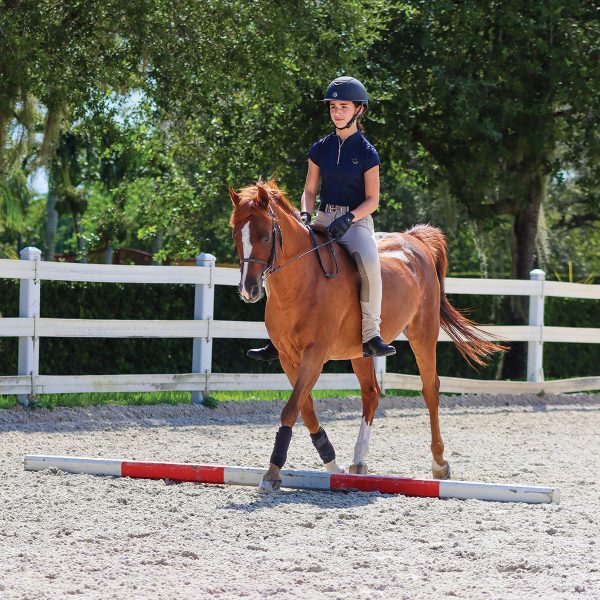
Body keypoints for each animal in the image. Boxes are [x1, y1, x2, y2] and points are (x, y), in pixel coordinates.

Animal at [230, 180, 502, 490]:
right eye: (236, 234)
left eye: (265, 236)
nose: (249, 290)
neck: (301, 283)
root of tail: (414, 241)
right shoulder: (288, 358)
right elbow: (305, 408)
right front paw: (331, 463)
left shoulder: (315, 354)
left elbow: (292, 408)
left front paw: (273, 473)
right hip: (360, 350)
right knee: (371, 392)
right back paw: (359, 460)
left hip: (423, 332)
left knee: (430, 389)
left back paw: (439, 464)